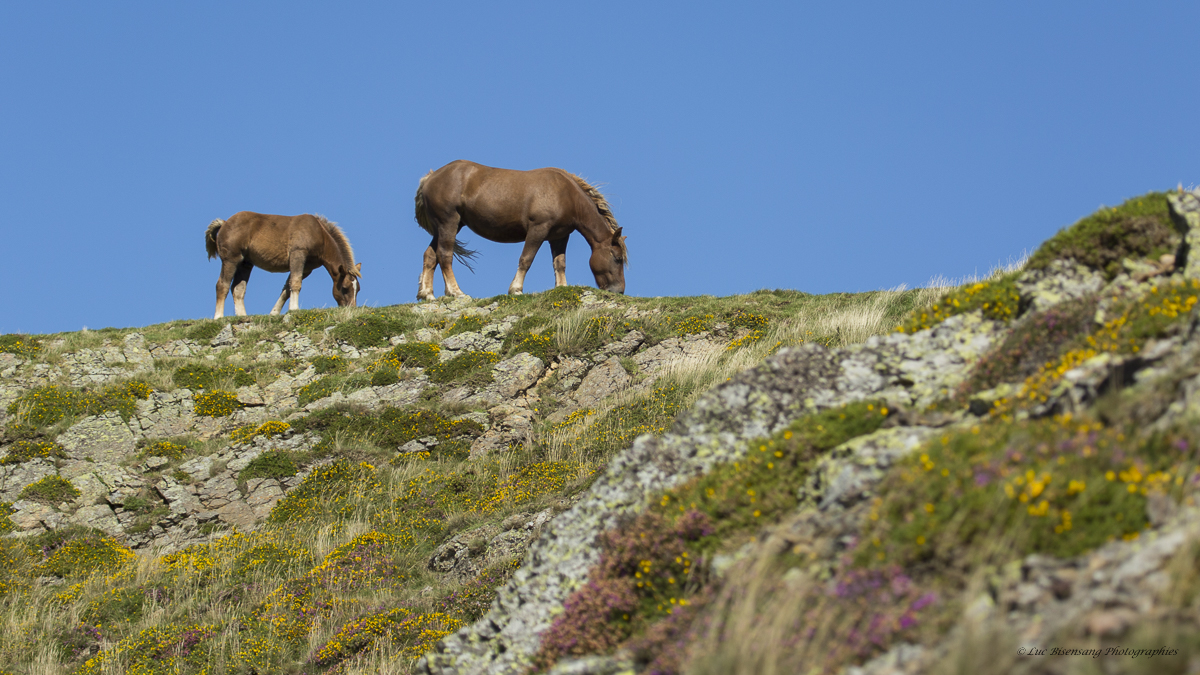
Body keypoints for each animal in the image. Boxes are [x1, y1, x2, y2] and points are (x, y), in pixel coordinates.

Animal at [204, 212, 360, 317]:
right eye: (345, 288)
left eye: (357, 289)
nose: (351, 310)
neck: (319, 233)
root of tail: (224, 223)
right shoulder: (298, 255)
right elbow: (295, 283)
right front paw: (294, 309)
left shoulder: (306, 268)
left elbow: (287, 288)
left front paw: (274, 313)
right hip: (231, 260)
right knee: (222, 285)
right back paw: (218, 317)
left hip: (245, 264)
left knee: (237, 289)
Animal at [412, 158, 628, 297]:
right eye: (617, 259)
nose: (619, 291)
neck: (565, 194)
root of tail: (431, 177)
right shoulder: (538, 229)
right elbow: (526, 259)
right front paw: (516, 289)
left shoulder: (559, 237)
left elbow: (560, 264)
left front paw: (561, 288)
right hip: (448, 222)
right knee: (444, 255)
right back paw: (456, 292)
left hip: (447, 226)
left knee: (430, 255)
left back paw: (427, 294)